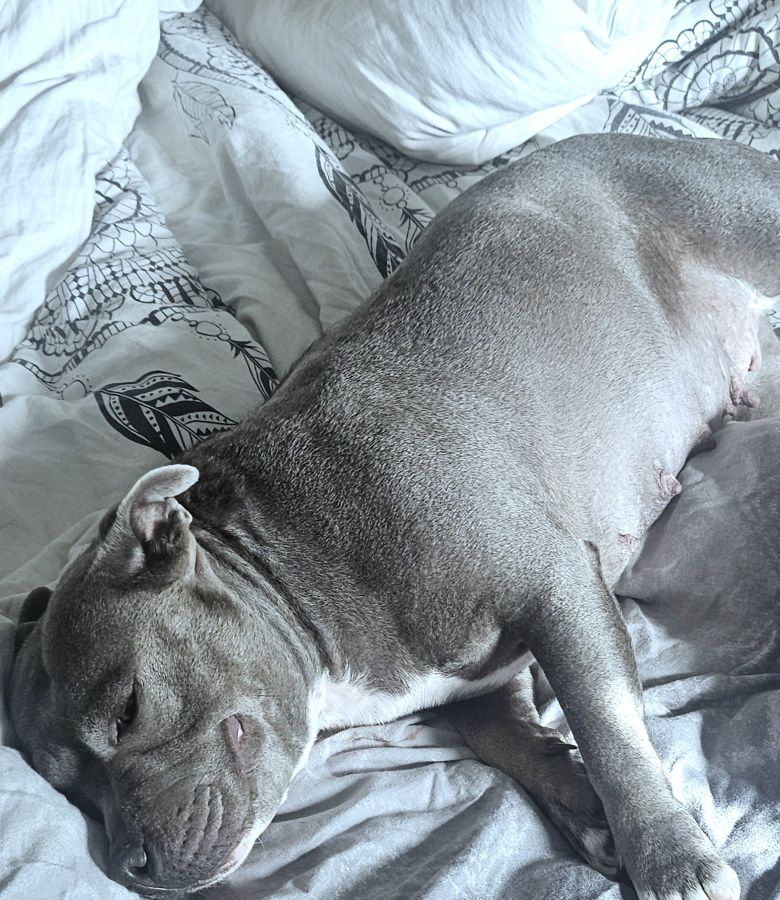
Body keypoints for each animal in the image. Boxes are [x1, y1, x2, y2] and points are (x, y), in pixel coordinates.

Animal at [8, 133, 778, 899]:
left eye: (128, 711)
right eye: (72, 794)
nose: (128, 863)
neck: (281, 555)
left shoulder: (557, 588)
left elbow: (609, 728)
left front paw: (664, 853)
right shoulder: (484, 680)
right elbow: (506, 738)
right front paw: (584, 808)